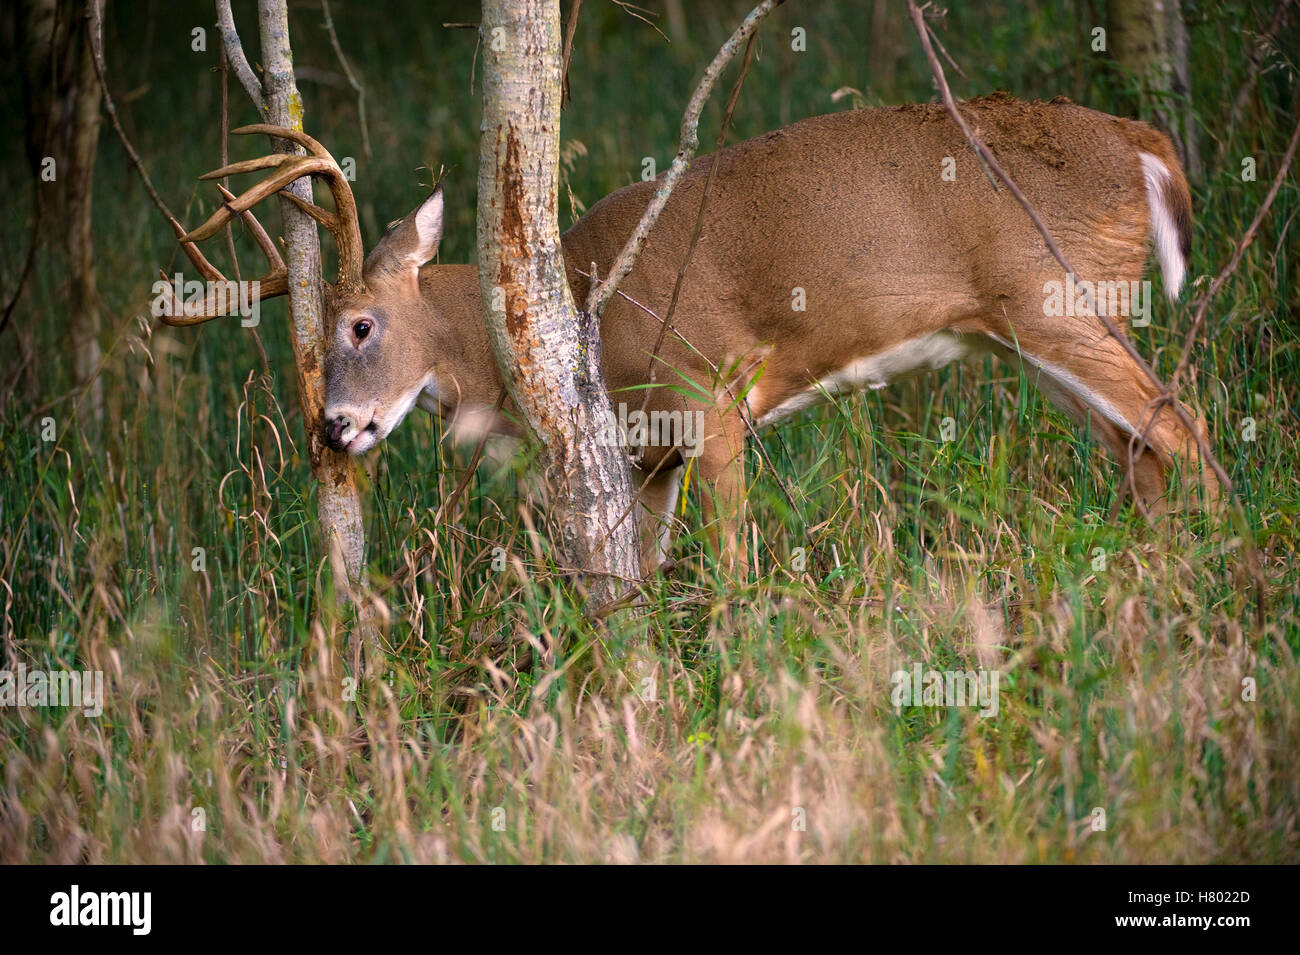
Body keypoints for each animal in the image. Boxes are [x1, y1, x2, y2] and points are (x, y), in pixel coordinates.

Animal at [157, 94, 1217, 576]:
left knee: (1184, 429)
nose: (334, 428)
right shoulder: (644, 454)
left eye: (360, 325)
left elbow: (734, 562)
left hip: (1056, 296)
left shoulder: (709, 393)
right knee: (1143, 445)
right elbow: (644, 572)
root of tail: (1146, 146)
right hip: (1035, 330)